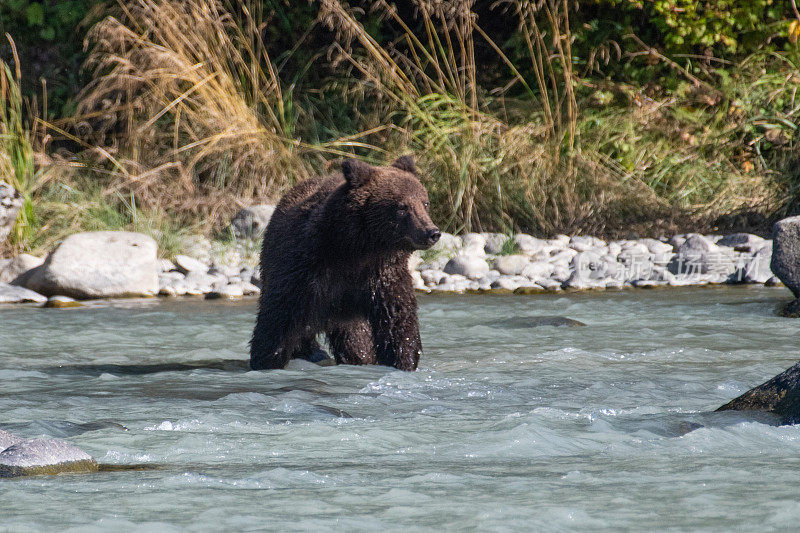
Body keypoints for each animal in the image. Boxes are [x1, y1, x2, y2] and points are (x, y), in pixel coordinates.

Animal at [250, 154, 440, 370]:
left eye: (425, 203)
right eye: (401, 207)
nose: (432, 232)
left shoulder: (382, 276)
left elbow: (398, 323)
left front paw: (403, 360)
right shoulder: (305, 270)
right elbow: (277, 321)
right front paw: (266, 360)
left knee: (355, 343)